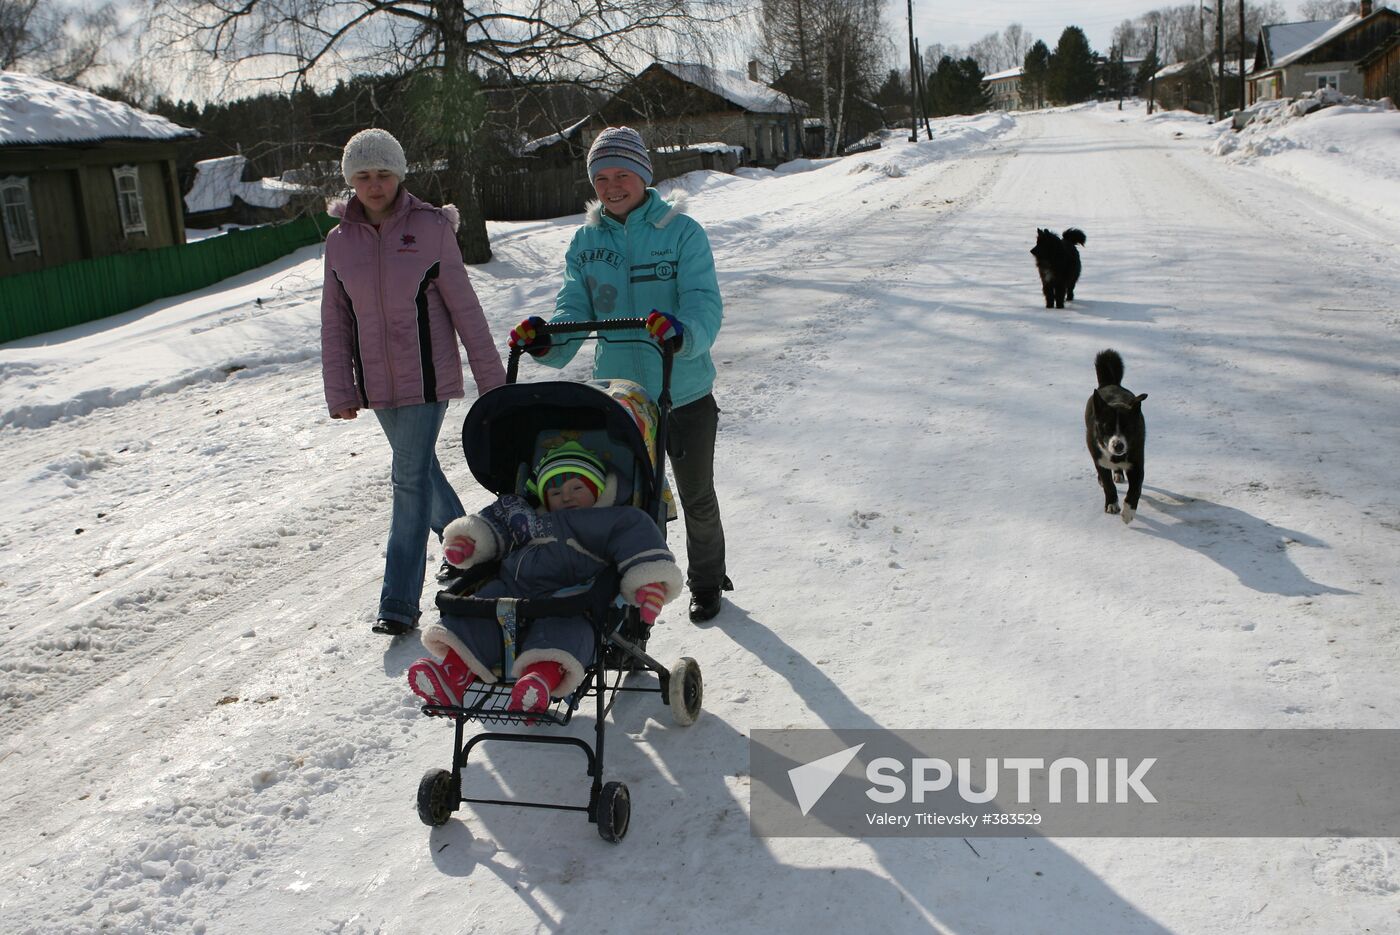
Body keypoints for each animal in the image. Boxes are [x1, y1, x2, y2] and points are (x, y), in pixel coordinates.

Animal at [1080, 349, 1148, 526]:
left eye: (1128, 427)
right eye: (1107, 427)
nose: (1118, 445)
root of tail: (1110, 383)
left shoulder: (1137, 462)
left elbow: (1135, 489)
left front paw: (1128, 512)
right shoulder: (1099, 459)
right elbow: (1108, 484)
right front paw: (1111, 504)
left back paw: (1118, 474)